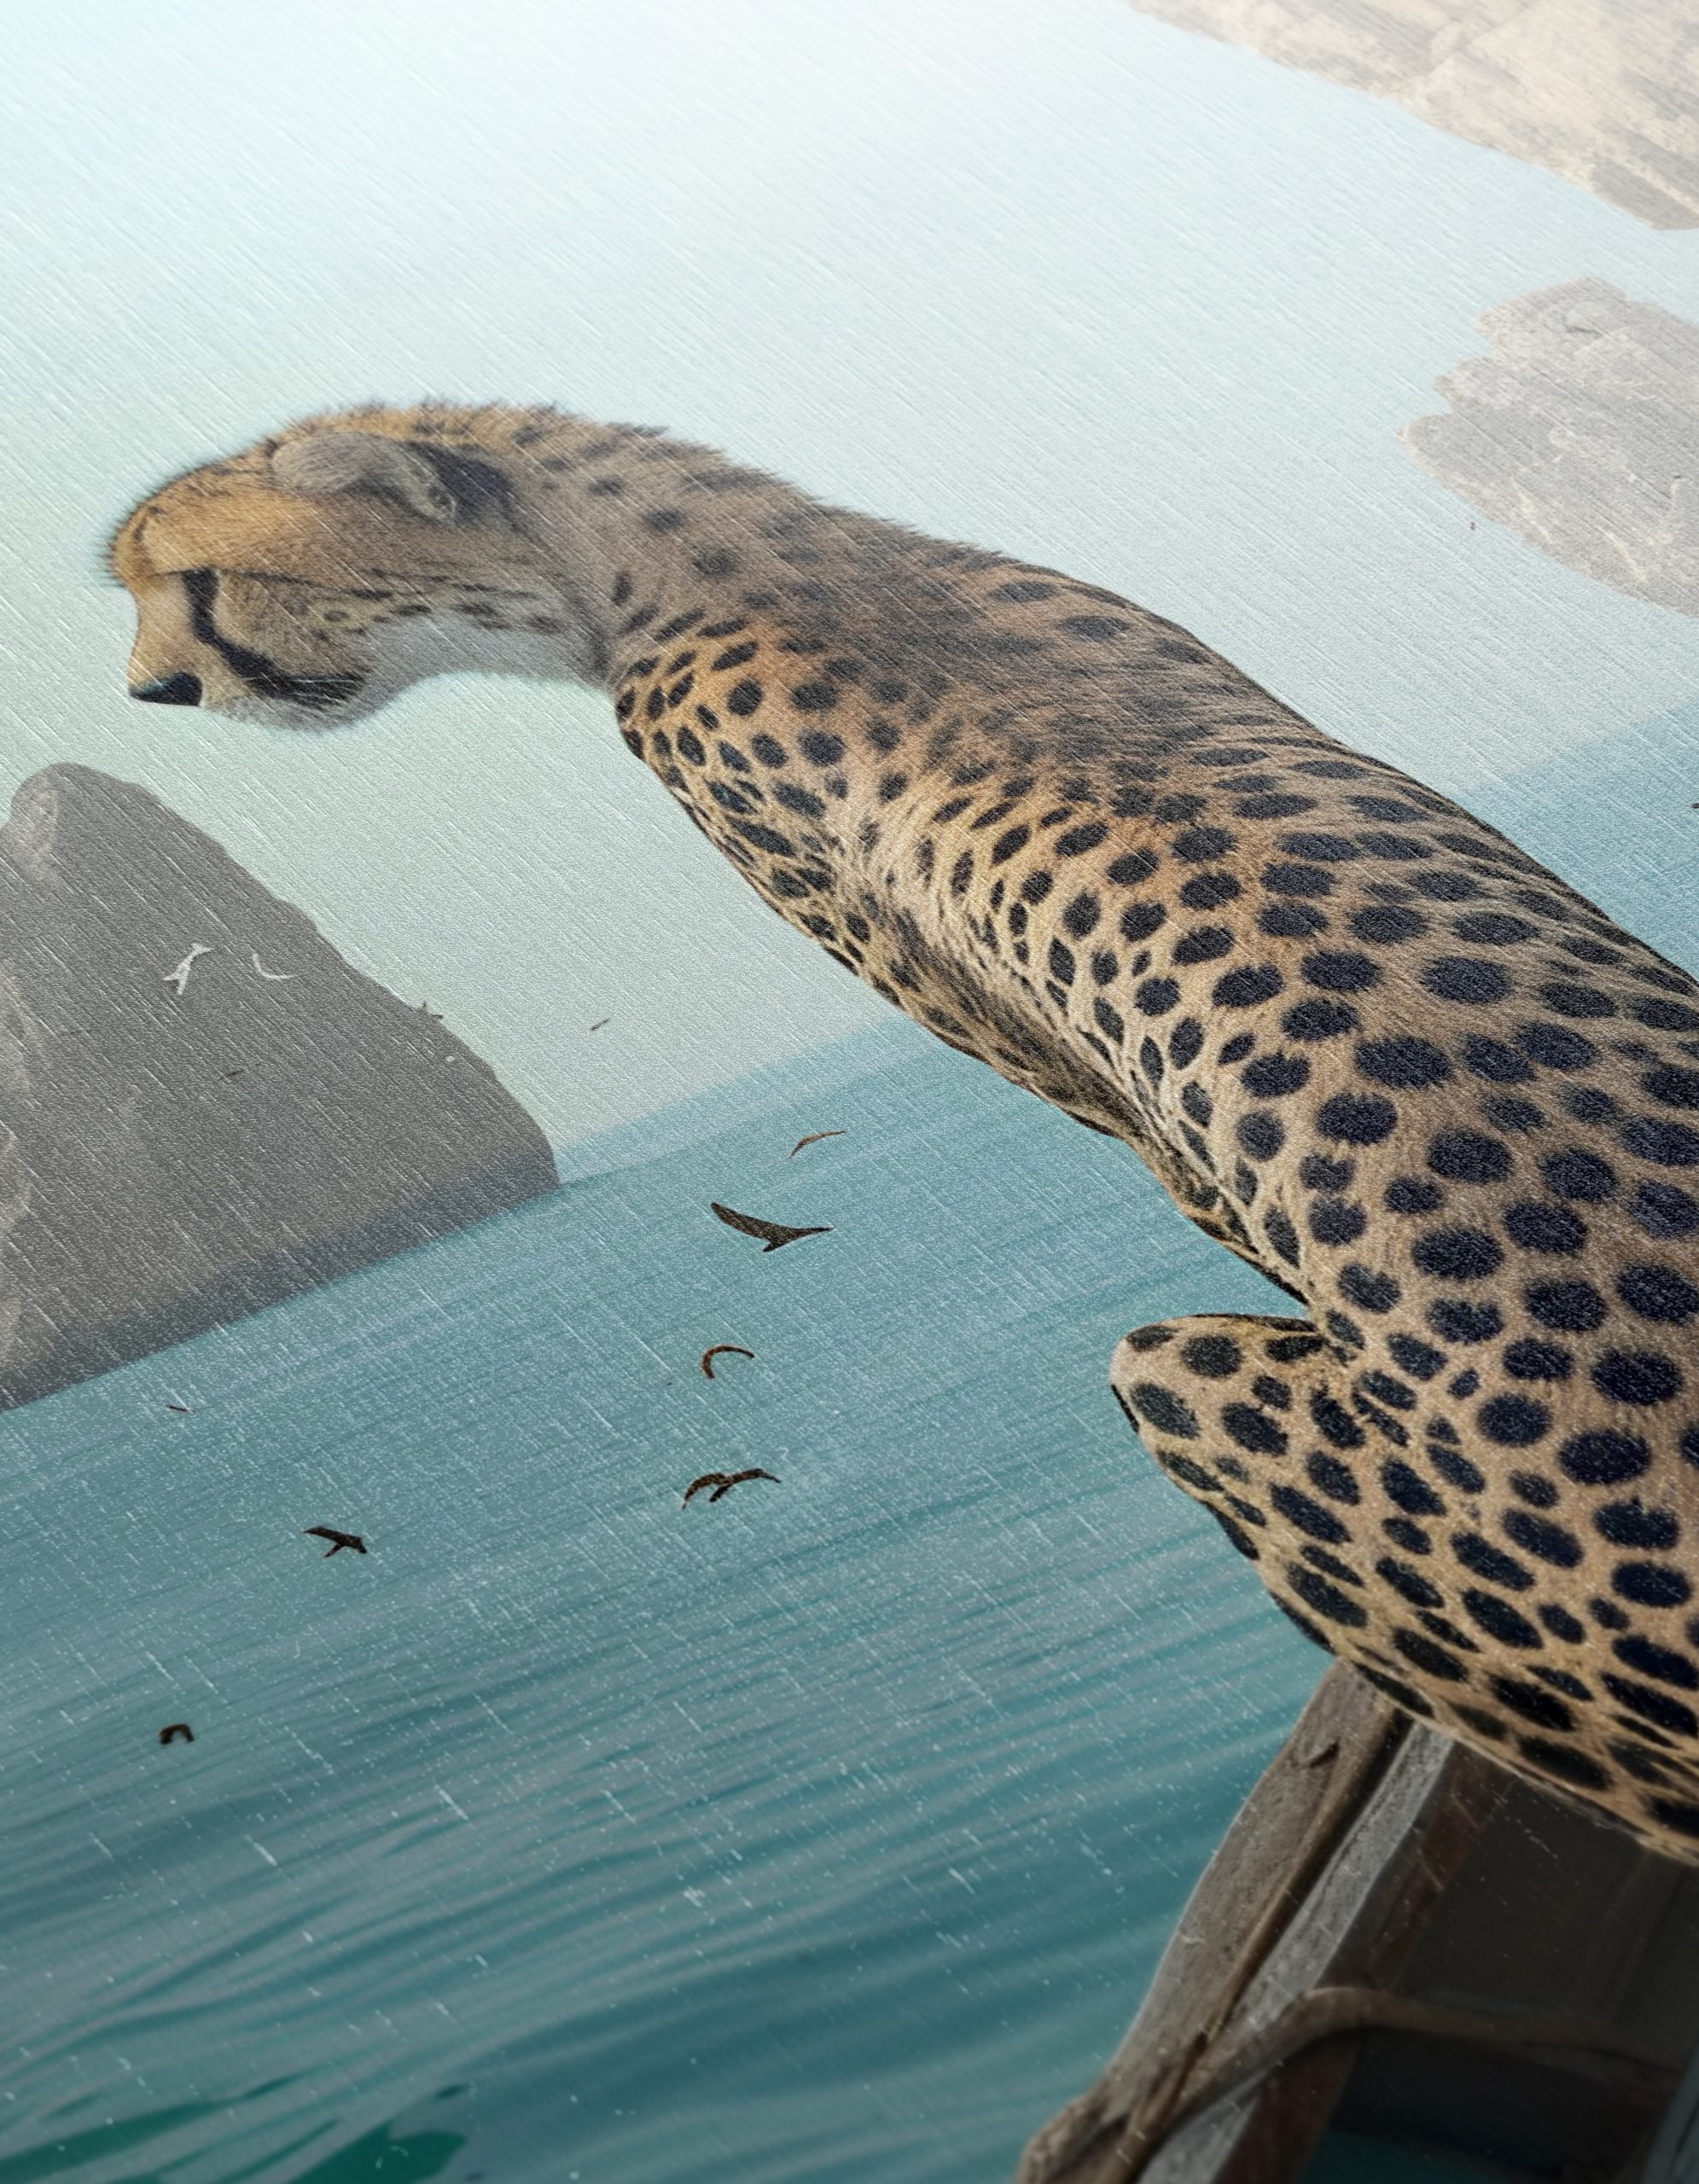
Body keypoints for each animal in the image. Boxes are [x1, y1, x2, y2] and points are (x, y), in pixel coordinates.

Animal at [108, 402, 1699, 1860]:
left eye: (192, 582)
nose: (152, 690)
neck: (704, 555)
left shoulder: (1088, 1090)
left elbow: (1216, 1209)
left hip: (1175, 1386)